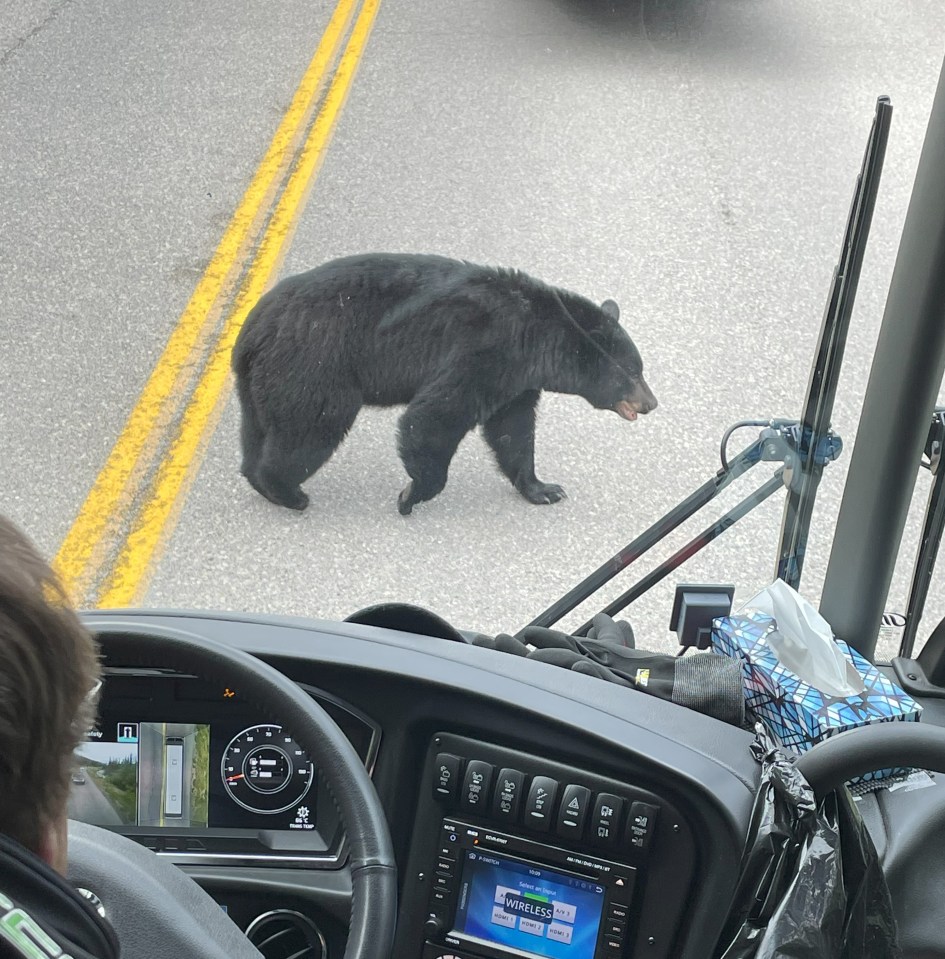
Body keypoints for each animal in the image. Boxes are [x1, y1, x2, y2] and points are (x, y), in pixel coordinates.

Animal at [231, 253, 657, 515]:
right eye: (633, 371)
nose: (651, 402)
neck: (537, 335)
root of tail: (251, 333)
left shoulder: (516, 381)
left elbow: (513, 430)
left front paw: (544, 488)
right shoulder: (486, 350)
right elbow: (435, 415)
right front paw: (411, 495)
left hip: (260, 385)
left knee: (259, 431)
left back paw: (259, 478)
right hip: (314, 366)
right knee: (312, 428)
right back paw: (289, 492)